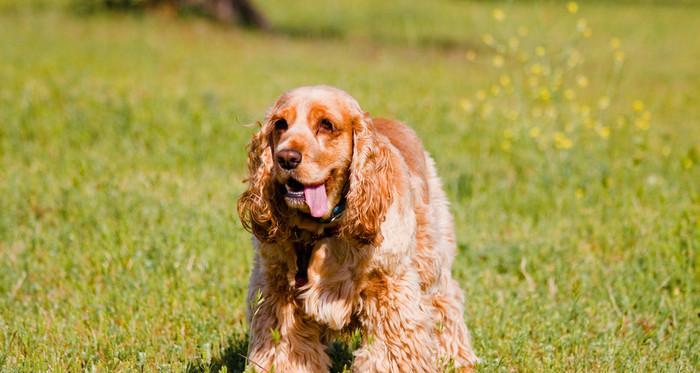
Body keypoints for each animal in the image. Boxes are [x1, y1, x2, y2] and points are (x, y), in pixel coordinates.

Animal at [238, 85, 478, 370]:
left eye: (326, 125)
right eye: (280, 124)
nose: (285, 158)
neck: (322, 230)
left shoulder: (390, 289)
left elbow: (389, 354)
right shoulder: (277, 291)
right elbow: (286, 353)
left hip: (431, 257)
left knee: (446, 302)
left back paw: (457, 360)